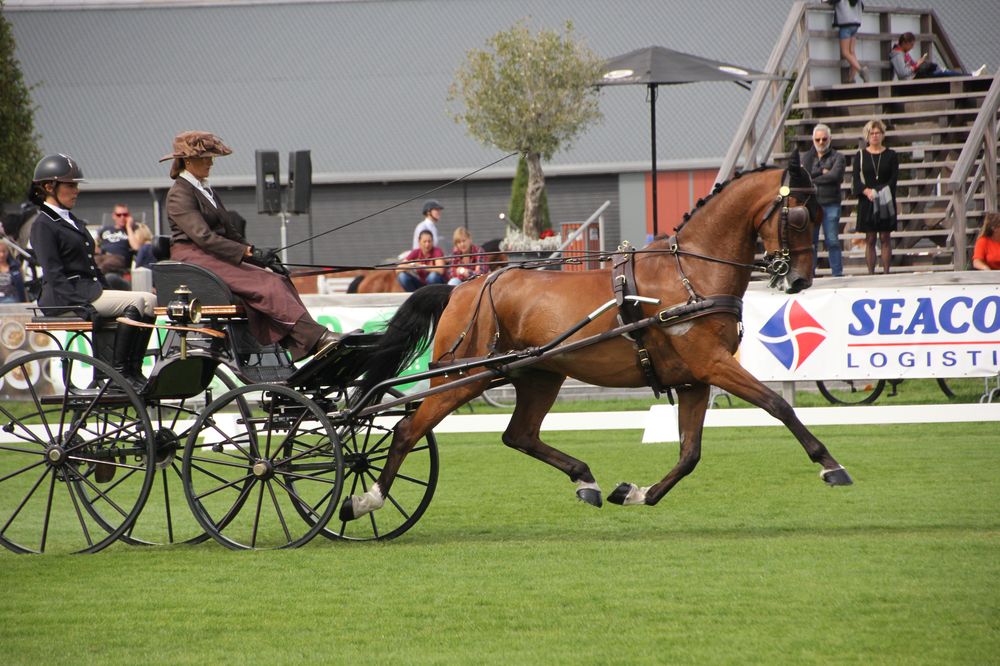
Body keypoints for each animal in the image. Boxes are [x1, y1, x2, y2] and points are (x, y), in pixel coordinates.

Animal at [338, 156, 852, 520]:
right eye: (801, 216)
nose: (801, 280)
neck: (691, 274)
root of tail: (463, 286)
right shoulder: (713, 364)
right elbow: (777, 404)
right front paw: (831, 465)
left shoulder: (694, 379)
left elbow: (689, 453)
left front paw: (637, 493)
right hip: (463, 377)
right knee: (408, 431)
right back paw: (366, 500)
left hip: (538, 375)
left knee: (519, 434)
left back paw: (585, 480)